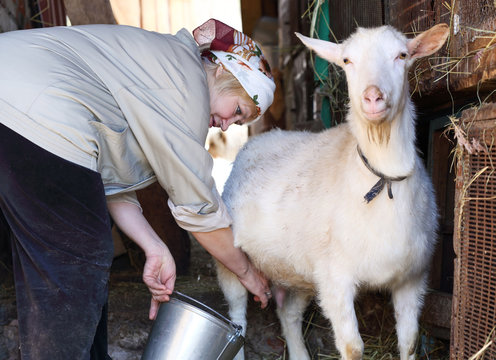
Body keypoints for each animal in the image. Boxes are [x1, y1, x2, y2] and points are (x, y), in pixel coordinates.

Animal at [217, 23, 450, 360]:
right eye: (347, 61)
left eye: (402, 55)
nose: (373, 97)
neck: (382, 179)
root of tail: (262, 138)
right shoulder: (335, 279)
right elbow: (353, 348)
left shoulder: (412, 278)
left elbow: (409, 340)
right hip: (231, 261)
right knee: (237, 321)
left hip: (300, 271)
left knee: (288, 313)